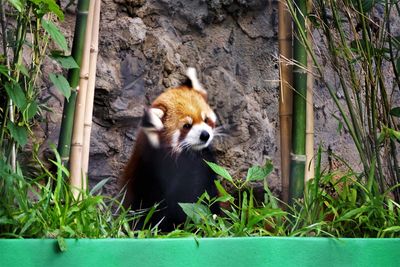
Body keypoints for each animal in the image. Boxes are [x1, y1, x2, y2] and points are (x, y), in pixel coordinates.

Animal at [119, 67, 219, 232]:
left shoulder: (205, 168)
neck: (187, 156)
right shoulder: (152, 172)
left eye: (206, 120)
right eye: (187, 126)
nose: (205, 135)